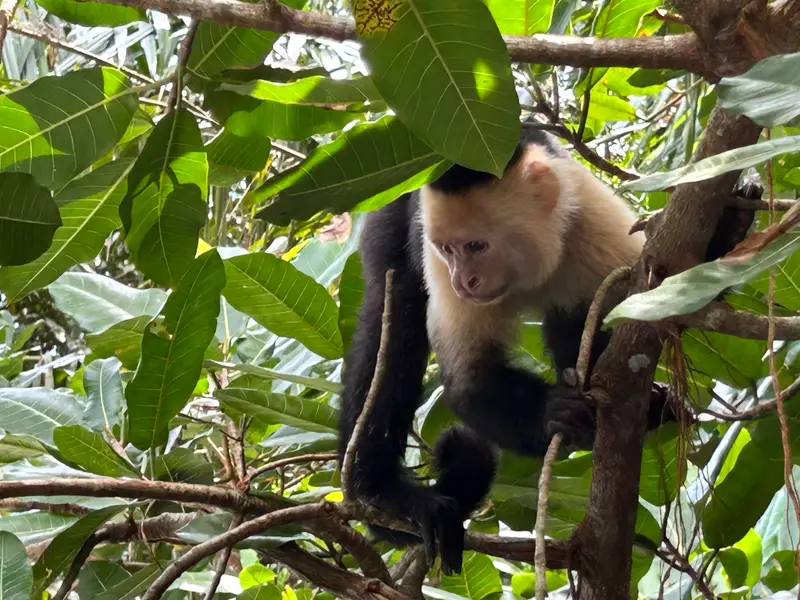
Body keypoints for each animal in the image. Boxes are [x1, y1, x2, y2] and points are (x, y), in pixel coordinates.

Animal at [338, 128, 760, 575]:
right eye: (448, 250)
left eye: (477, 246)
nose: (462, 282)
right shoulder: (433, 255)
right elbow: (470, 381)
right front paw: (556, 413)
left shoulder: (591, 220)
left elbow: (657, 309)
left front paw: (729, 232)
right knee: (392, 320)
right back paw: (382, 493)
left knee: (571, 315)